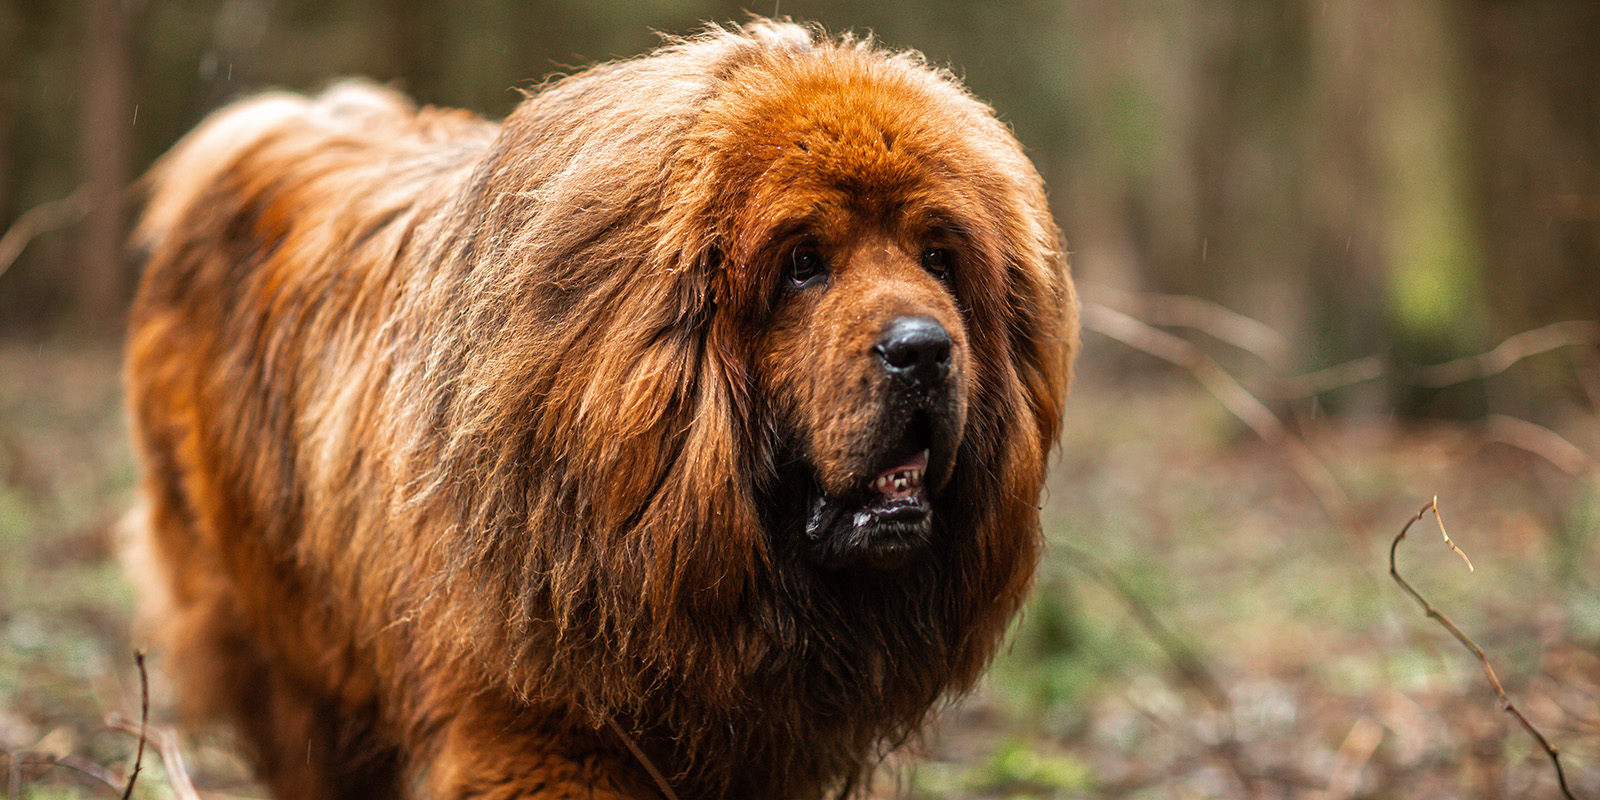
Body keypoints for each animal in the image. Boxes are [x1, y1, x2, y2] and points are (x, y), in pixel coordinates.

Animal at [121, 18, 1075, 800]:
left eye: (938, 258)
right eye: (803, 264)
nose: (923, 349)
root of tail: (269, 128)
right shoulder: (539, 731)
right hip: (287, 643)